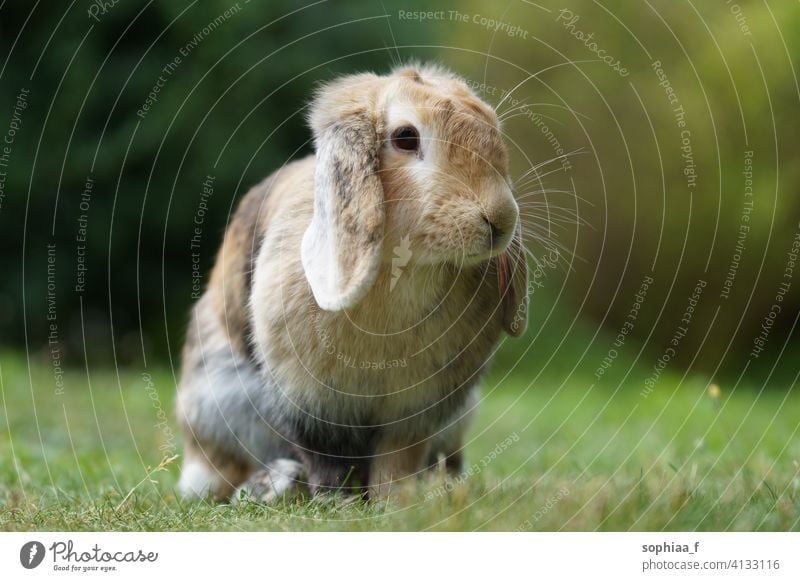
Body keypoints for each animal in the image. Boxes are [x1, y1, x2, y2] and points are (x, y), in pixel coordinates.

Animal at [180, 63, 532, 502]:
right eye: (406, 137)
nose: (499, 218)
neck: (405, 268)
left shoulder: (415, 411)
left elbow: (398, 459)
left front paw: (397, 501)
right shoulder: (315, 404)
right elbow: (328, 459)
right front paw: (340, 502)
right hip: (219, 400)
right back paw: (273, 483)